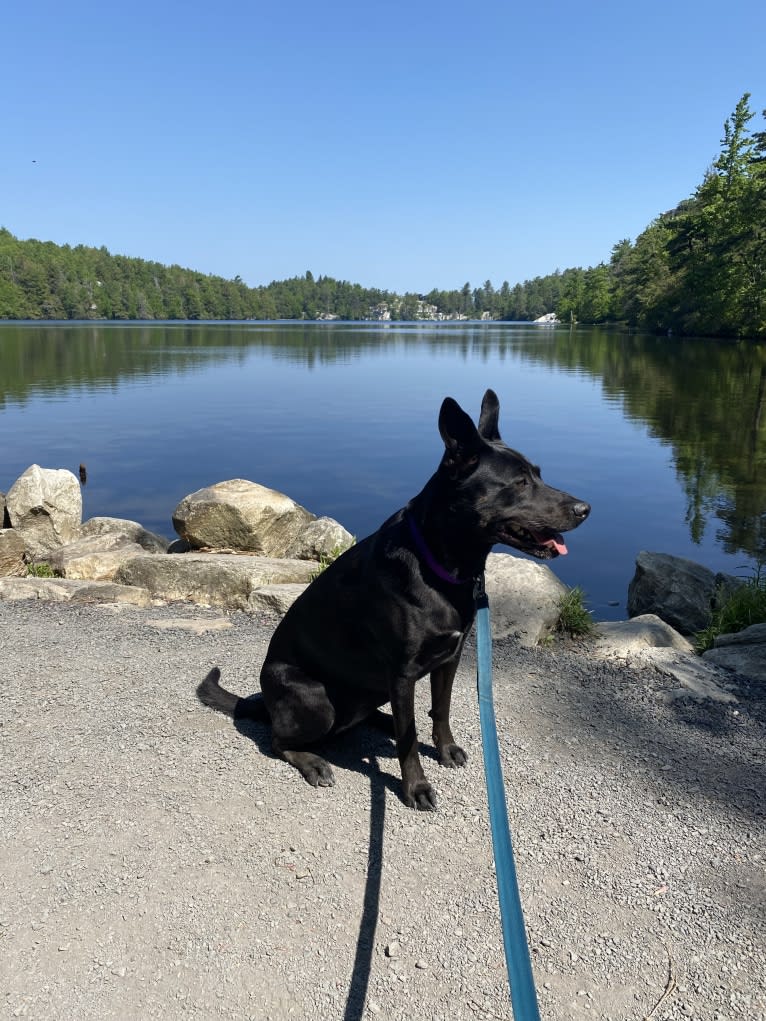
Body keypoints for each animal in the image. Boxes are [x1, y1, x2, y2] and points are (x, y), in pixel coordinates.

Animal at [195, 390, 592, 812]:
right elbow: (408, 742)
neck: (441, 565)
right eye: (519, 481)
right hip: (316, 699)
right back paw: (314, 760)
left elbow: (440, 710)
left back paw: (383, 721)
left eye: (538, 474)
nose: (585, 509)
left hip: (371, 690)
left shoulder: (449, 658)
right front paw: (415, 787)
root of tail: (265, 703)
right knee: (278, 739)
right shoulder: (402, 673)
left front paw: (444, 749)